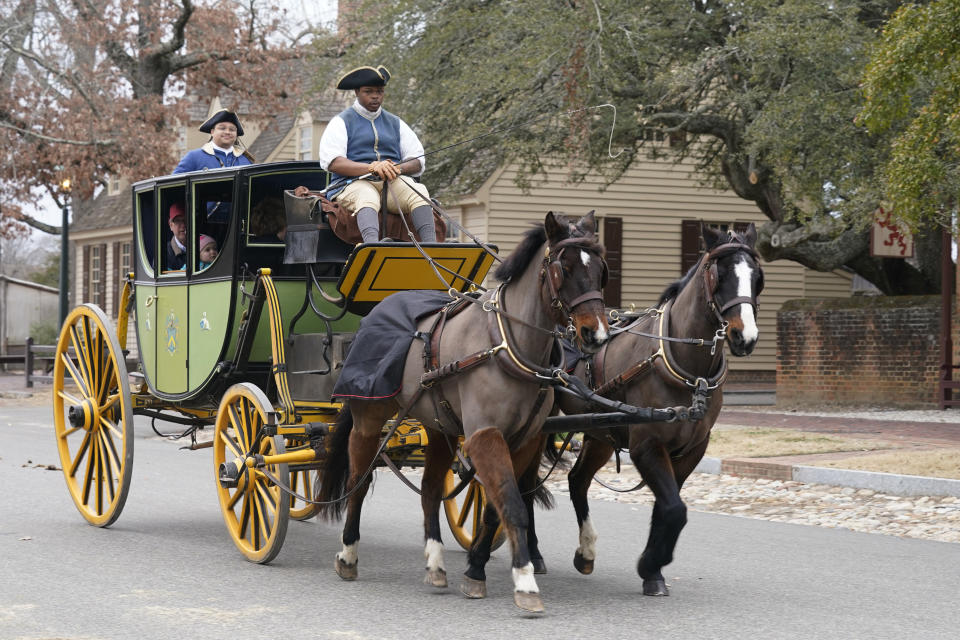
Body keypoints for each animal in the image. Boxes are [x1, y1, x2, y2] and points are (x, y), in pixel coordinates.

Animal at [318, 210, 612, 608]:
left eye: (600, 269)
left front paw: (476, 570)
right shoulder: (485, 435)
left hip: (439, 425)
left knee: (429, 489)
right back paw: (348, 554)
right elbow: (513, 504)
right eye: (563, 268)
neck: (505, 346)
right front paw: (525, 581)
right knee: (357, 484)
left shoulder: (524, 440)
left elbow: (494, 508)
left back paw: (435, 561)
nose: (596, 334)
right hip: (369, 419)